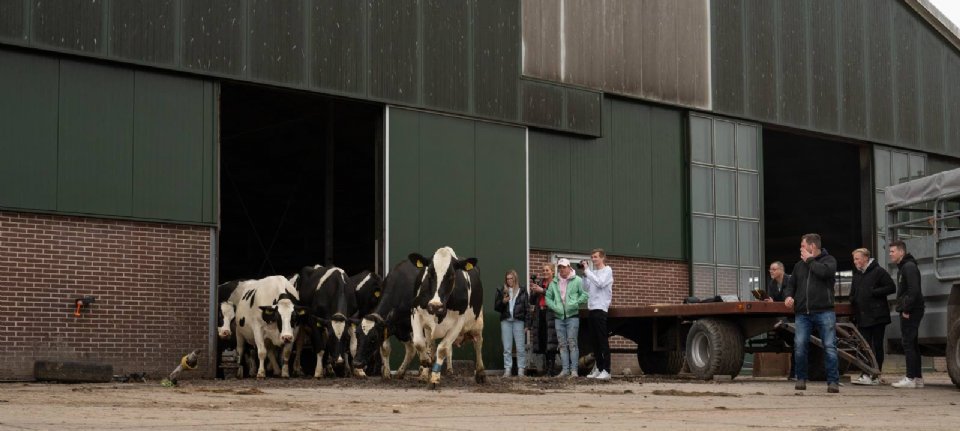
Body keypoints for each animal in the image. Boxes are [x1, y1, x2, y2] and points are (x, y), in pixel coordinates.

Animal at [410, 246, 488, 392]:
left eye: (451, 275)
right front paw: (426, 363)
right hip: (428, 329)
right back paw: (424, 373)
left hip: (478, 321)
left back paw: (480, 373)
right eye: (430, 274)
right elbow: (419, 342)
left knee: (478, 343)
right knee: (430, 346)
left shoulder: (458, 323)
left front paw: (435, 378)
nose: (435, 305)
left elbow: (443, 349)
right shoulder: (415, 311)